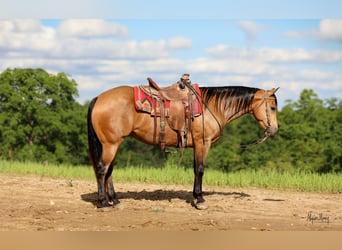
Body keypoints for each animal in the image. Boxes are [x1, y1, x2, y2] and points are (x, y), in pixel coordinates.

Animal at [87, 76, 278, 209]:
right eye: (273, 107)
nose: (274, 130)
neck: (211, 107)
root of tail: (98, 98)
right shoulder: (203, 143)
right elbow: (200, 169)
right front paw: (200, 200)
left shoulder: (197, 145)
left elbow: (195, 169)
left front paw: (195, 196)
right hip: (111, 144)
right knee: (102, 169)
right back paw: (103, 203)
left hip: (114, 144)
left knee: (109, 171)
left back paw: (115, 201)